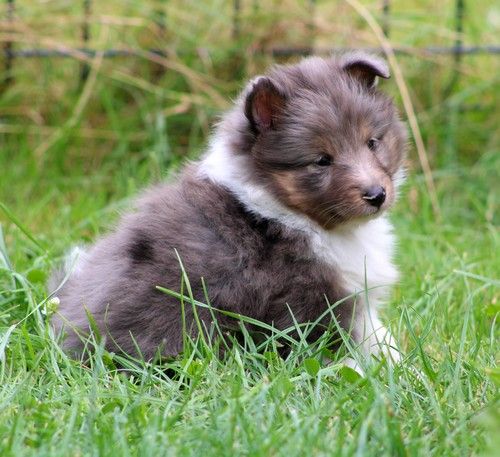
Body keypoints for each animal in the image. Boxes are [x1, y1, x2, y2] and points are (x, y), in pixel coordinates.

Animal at [49, 52, 406, 360]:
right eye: (321, 160)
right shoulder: (309, 302)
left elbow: (381, 341)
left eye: (372, 142)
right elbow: (339, 350)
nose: (376, 195)